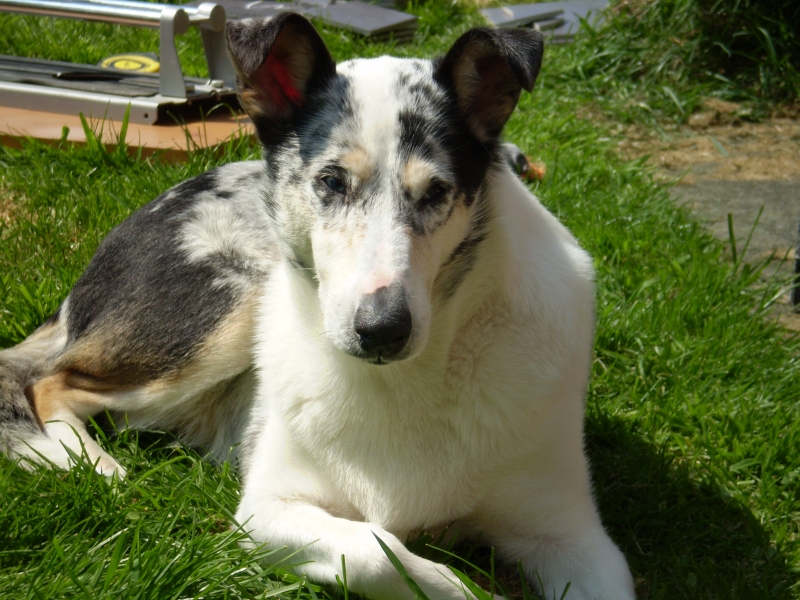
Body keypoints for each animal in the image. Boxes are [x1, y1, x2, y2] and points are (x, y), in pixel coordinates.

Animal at [0, 14, 636, 600]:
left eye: (436, 192)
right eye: (331, 182)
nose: (382, 331)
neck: (407, 381)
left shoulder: (575, 536)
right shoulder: (268, 509)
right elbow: (378, 549)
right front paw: (457, 585)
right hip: (229, 309)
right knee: (48, 381)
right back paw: (84, 463)